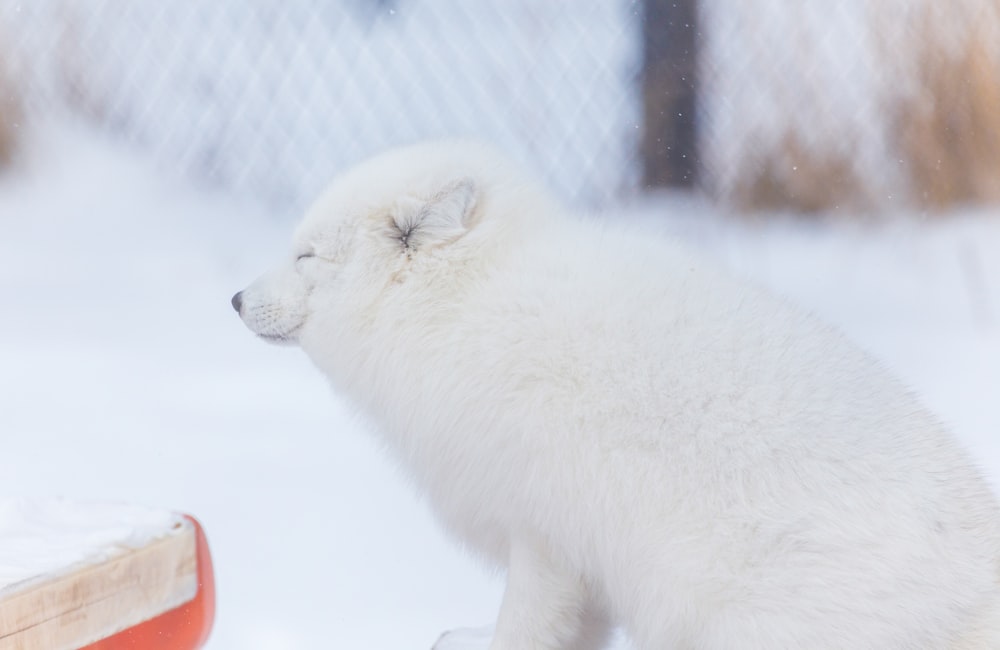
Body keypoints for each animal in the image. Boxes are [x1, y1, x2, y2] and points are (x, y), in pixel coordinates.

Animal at [232, 143, 1000, 648]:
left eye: (305, 256)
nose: (234, 299)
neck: (464, 307)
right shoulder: (583, 565)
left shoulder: (543, 534)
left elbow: (524, 627)